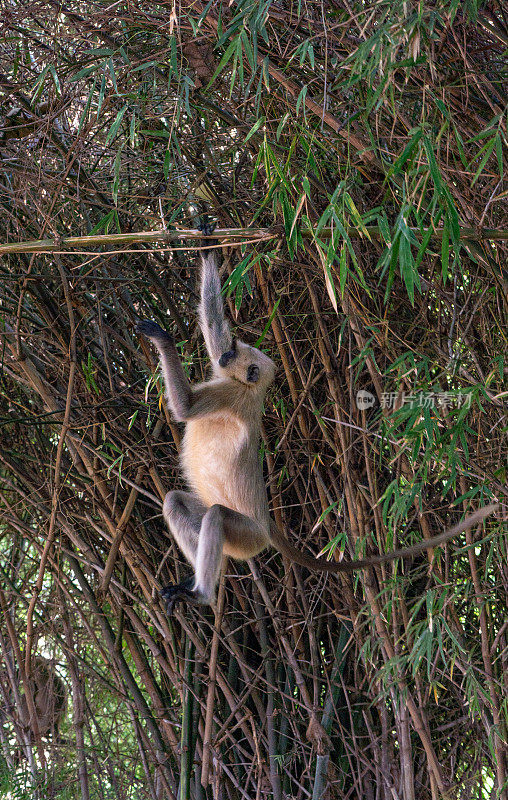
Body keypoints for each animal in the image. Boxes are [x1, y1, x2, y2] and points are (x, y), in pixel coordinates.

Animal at [136, 238, 500, 612]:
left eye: (237, 354)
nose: (227, 356)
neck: (252, 388)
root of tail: (267, 527)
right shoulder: (229, 380)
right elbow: (213, 330)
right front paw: (208, 245)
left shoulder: (232, 393)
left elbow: (185, 407)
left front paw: (162, 340)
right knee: (176, 502)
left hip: (247, 535)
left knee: (216, 517)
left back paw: (203, 594)